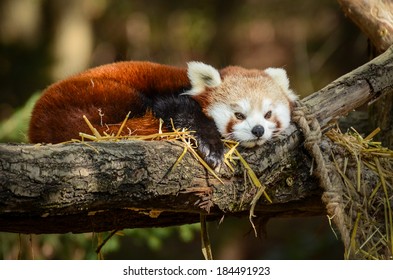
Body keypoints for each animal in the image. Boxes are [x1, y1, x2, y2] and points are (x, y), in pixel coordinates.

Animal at [28, 61, 298, 167]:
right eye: (239, 115)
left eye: (268, 114)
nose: (257, 130)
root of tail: (37, 123)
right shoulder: (170, 95)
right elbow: (177, 111)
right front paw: (212, 146)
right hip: (99, 93)